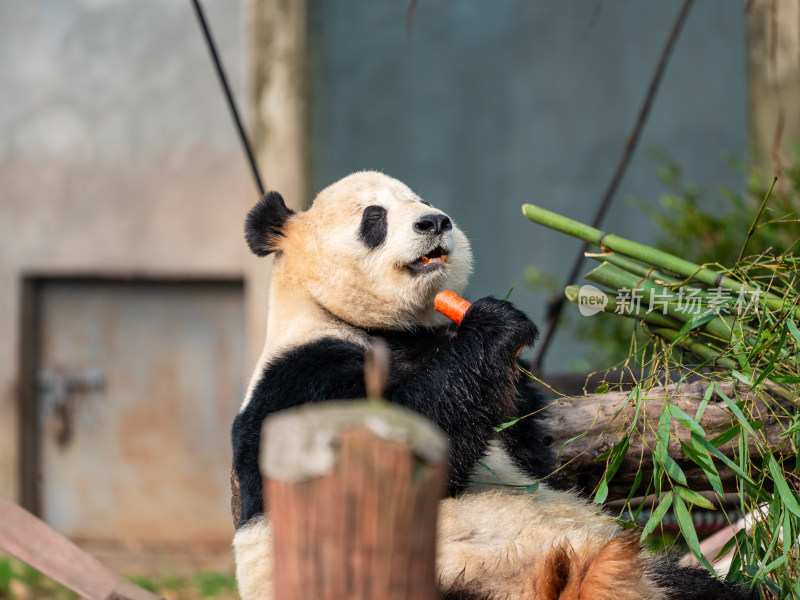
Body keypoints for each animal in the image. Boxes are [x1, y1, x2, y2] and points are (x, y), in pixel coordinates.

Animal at [231, 170, 756, 600]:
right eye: (374, 217)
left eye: (420, 199)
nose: (434, 222)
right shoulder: (303, 377)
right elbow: (402, 449)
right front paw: (497, 321)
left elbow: (530, 441)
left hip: (651, 575)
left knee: (709, 591)